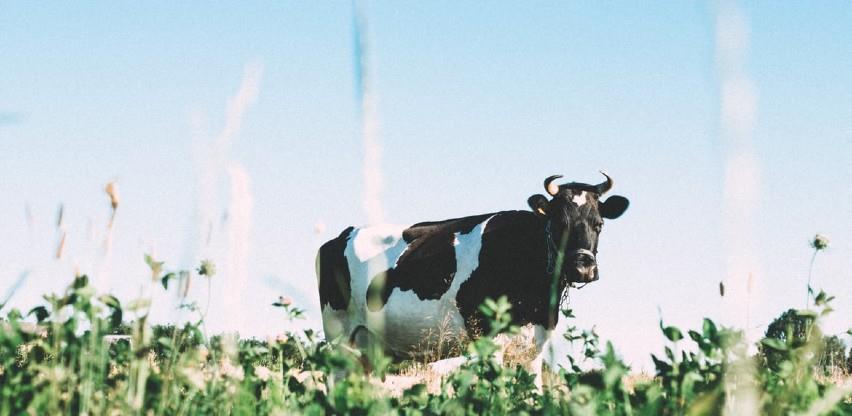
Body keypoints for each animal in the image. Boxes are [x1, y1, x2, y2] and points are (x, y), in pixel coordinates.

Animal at [316, 173, 629, 385]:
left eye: (599, 224)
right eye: (559, 223)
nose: (582, 268)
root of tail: (341, 235)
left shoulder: (535, 345)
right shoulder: (490, 338)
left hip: (368, 348)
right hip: (339, 335)